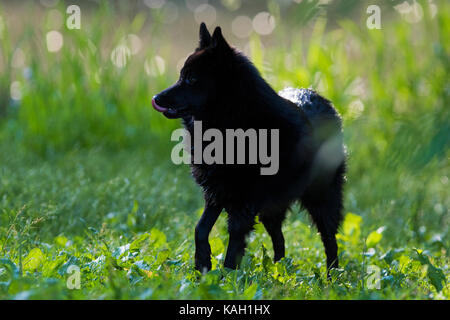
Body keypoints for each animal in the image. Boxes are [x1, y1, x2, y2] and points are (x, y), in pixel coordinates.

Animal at [153, 23, 346, 278]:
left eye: (191, 78)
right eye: (180, 76)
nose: (156, 97)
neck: (232, 123)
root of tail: (323, 100)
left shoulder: (242, 204)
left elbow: (233, 244)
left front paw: (225, 278)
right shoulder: (216, 193)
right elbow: (200, 229)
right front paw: (202, 266)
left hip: (321, 199)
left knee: (329, 239)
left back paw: (332, 277)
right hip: (272, 209)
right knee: (280, 239)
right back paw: (278, 272)